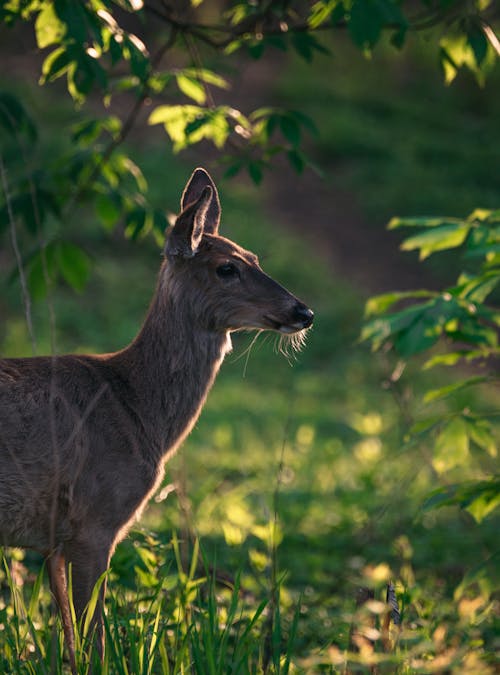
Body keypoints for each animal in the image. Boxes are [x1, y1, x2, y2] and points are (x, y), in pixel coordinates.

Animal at [0, 168, 312, 672]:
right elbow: (94, 642)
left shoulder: (53, 542)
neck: (137, 407)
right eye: (227, 268)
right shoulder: (95, 518)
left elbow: (70, 643)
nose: (303, 311)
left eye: (255, 257)